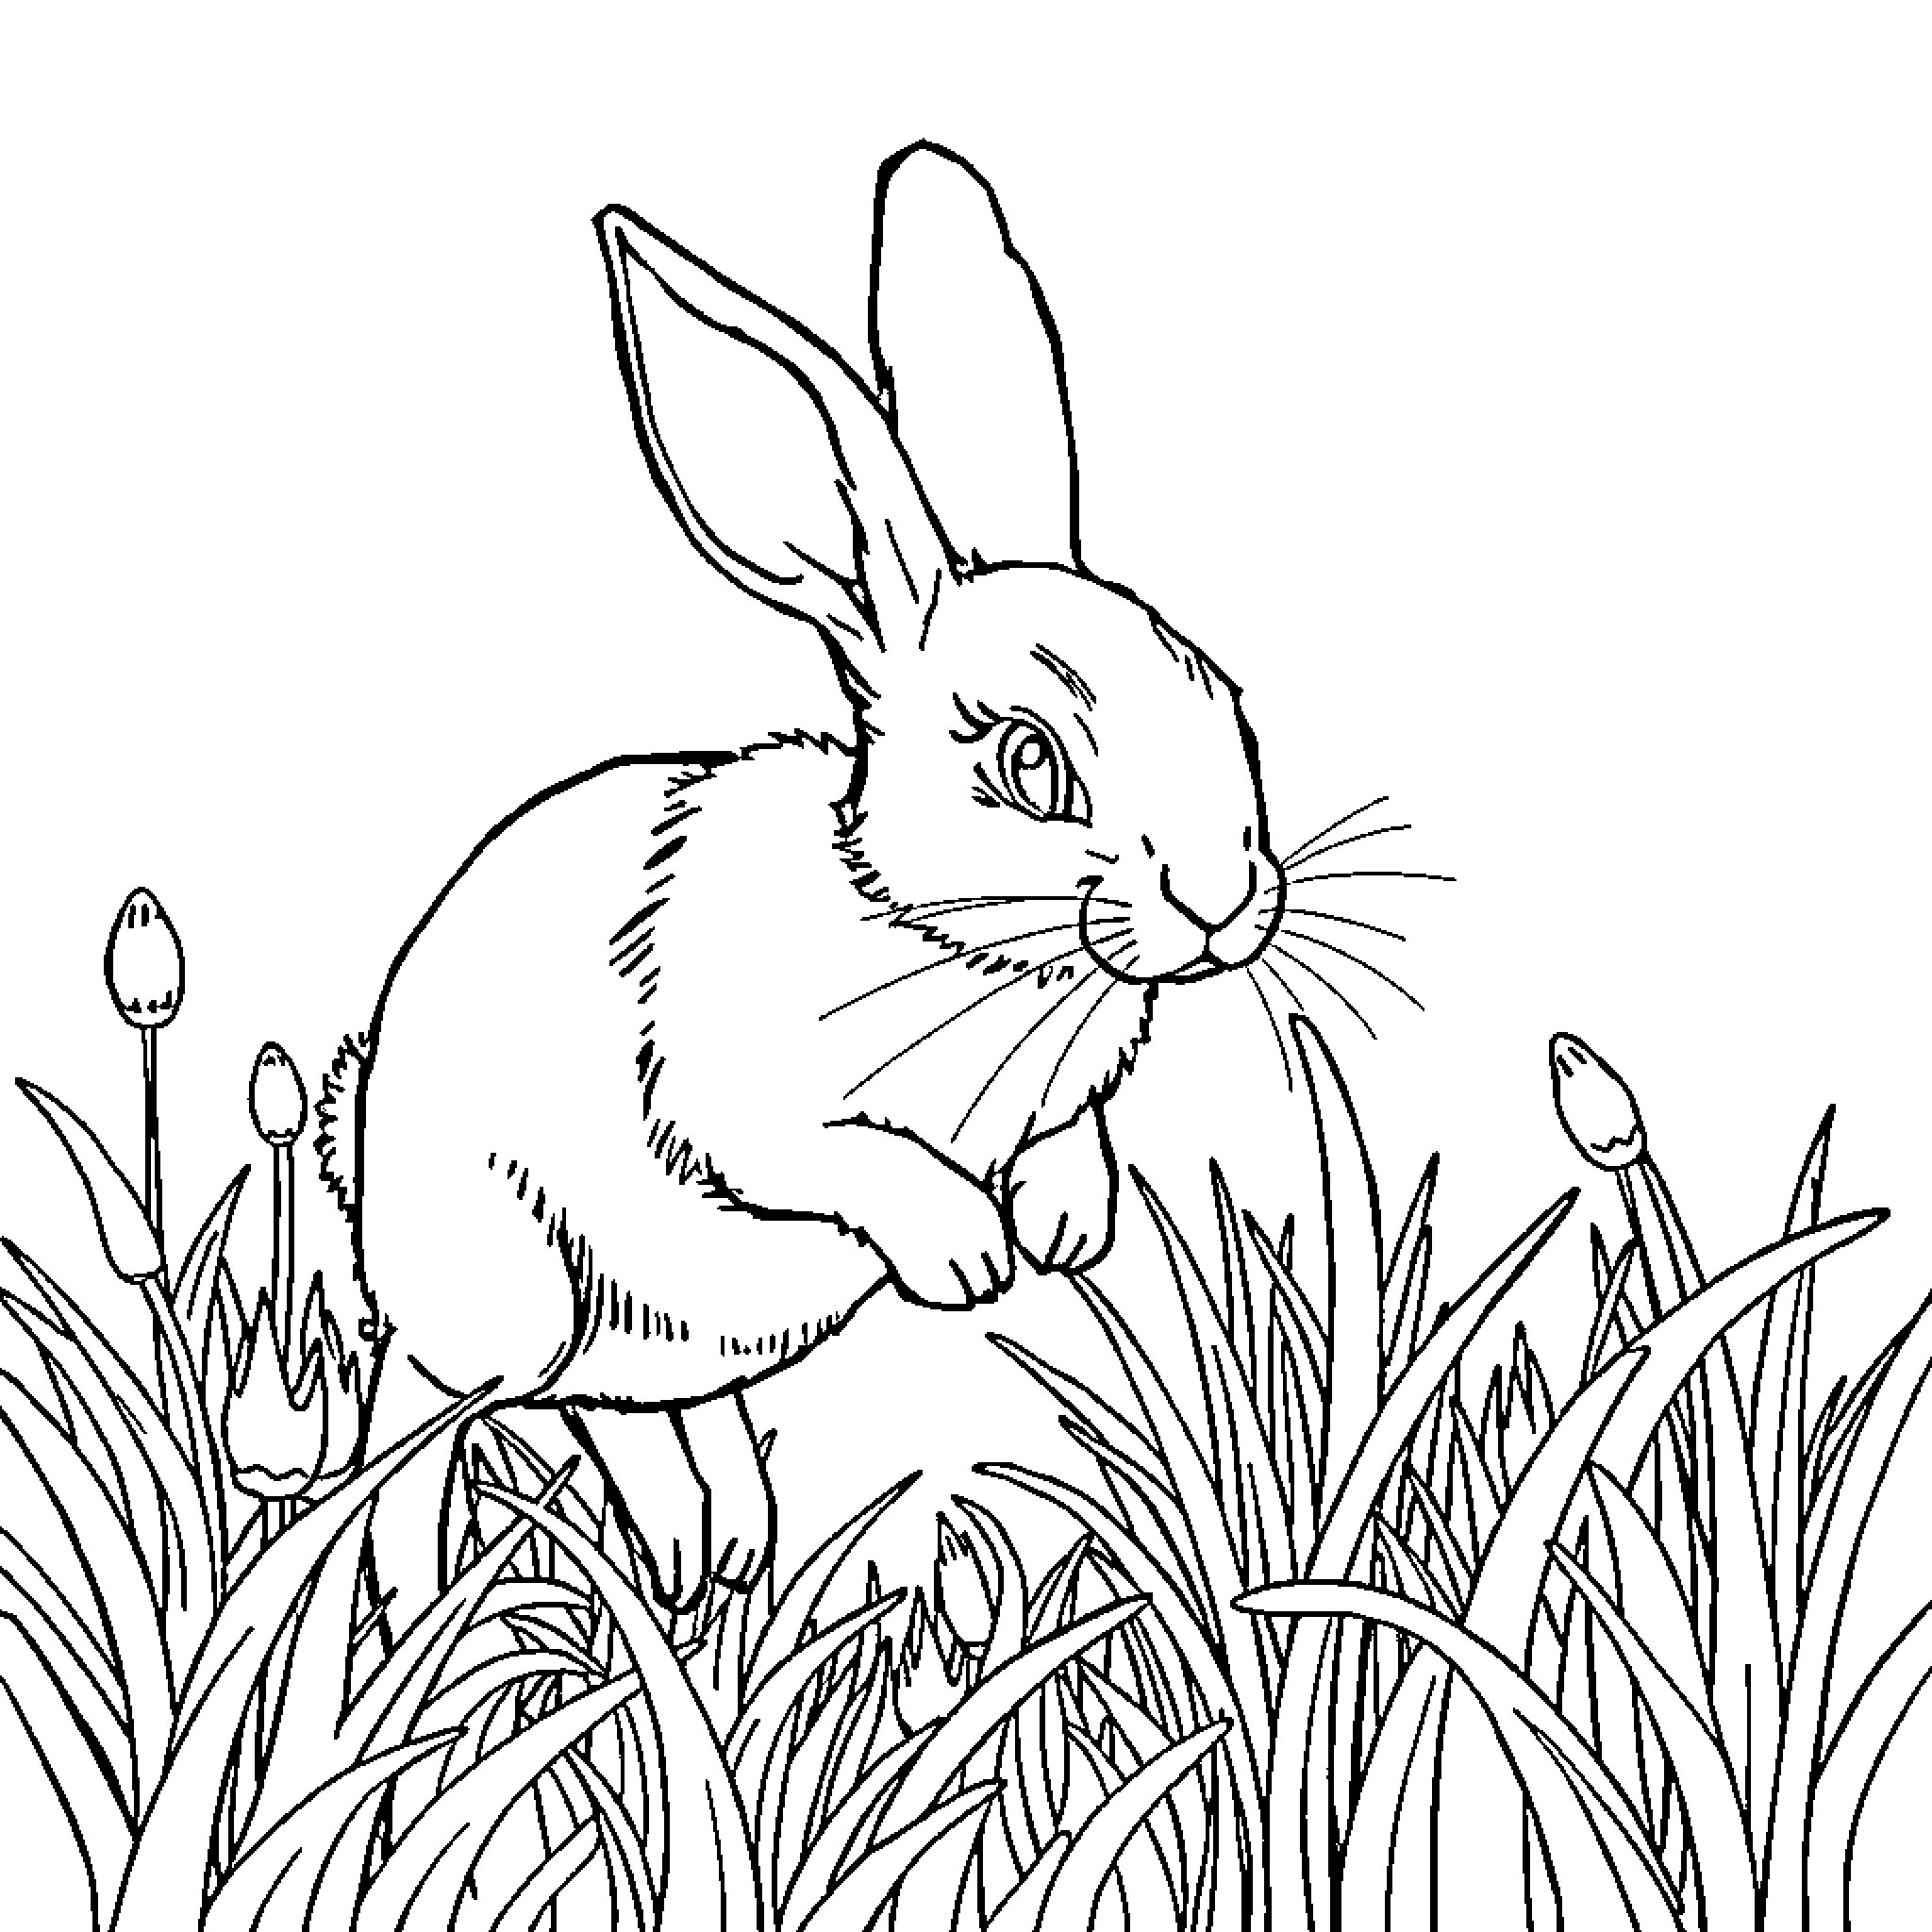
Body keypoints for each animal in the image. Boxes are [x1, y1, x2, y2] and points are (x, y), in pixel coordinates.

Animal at [334, 141, 1289, 1624]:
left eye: (1224, 703)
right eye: (1028, 762)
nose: (1223, 898)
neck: (950, 945)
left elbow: (1072, 1135)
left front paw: (1065, 1223)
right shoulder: (744, 1106)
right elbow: (843, 1156)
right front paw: (971, 1255)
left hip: (670, 1349)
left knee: (645, 1421)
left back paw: (708, 1566)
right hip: (500, 1315)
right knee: (429, 1431)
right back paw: (422, 1612)